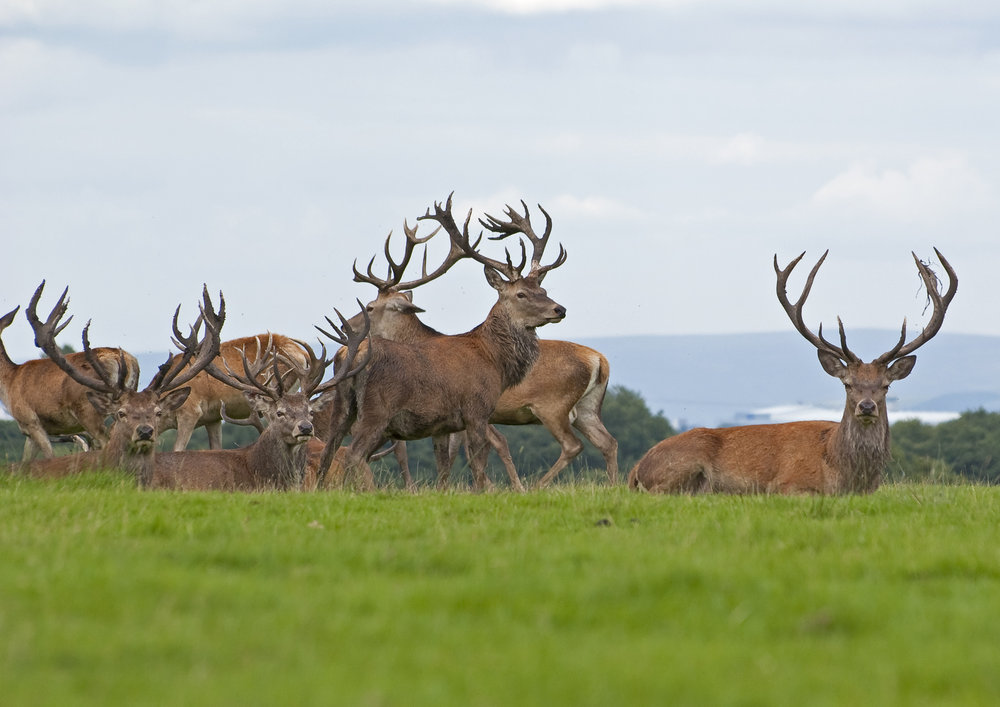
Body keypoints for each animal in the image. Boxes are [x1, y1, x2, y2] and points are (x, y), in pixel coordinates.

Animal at [0, 297, 139, 460]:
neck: (9, 381)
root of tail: (126, 360)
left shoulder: (31, 421)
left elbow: (49, 457)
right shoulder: (29, 434)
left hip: (88, 411)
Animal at [316, 193, 567, 491]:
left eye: (543, 289)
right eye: (521, 294)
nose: (559, 309)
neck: (494, 361)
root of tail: (351, 355)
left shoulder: (442, 425)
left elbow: (444, 467)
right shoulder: (476, 410)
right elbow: (478, 467)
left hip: (342, 407)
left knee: (328, 451)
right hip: (377, 410)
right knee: (353, 455)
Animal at [342, 220, 618, 489]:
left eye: (370, 307)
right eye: (527, 292)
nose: (347, 326)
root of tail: (601, 360)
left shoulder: (476, 412)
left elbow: (483, 452)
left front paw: (501, 488)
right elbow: (457, 457)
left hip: (552, 406)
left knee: (573, 445)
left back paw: (537, 486)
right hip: (586, 408)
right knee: (608, 442)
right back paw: (614, 487)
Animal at [628, 249, 957, 495]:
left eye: (885, 386)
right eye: (848, 384)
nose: (866, 406)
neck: (843, 473)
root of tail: (636, 470)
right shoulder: (787, 486)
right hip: (682, 466)